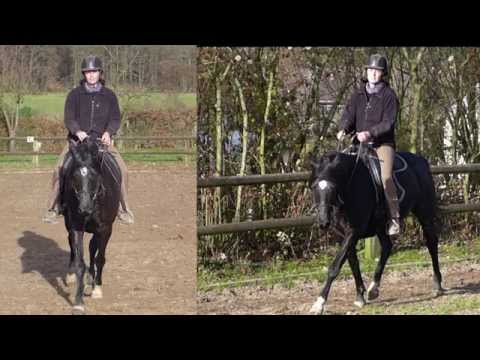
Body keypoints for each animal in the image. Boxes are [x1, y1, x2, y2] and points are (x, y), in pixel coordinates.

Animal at [61, 139, 122, 316]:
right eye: (74, 176)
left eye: (94, 176)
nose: (84, 209)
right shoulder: (76, 227)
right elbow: (80, 264)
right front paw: (78, 303)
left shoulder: (105, 229)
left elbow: (100, 258)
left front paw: (97, 289)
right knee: (73, 244)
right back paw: (72, 276)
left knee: (92, 248)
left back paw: (92, 280)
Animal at [308, 145, 442, 314]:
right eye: (314, 187)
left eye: (333, 188)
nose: (323, 222)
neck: (350, 187)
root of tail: (422, 161)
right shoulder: (343, 235)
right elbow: (353, 264)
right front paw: (360, 296)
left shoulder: (354, 231)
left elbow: (335, 266)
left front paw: (319, 303)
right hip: (380, 226)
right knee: (387, 247)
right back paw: (373, 288)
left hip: (424, 213)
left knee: (431, 243)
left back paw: (437, 284)